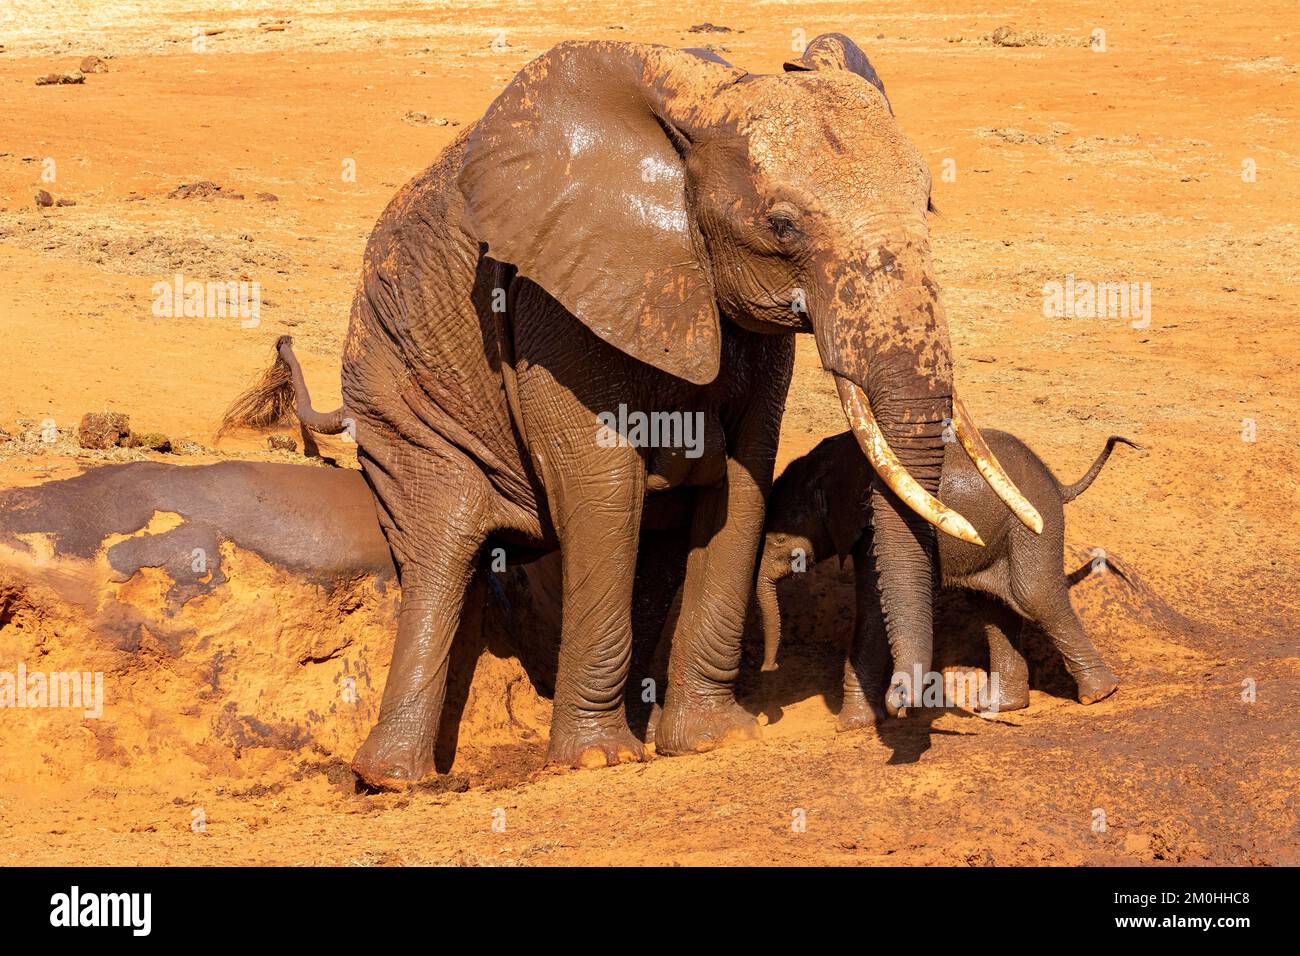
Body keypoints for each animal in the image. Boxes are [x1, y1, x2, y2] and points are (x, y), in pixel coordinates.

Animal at [228, 33, 1040, 790]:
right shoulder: (551, 297)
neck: (699, 115)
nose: (905, 704)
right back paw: (396, 779)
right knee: (444, 545)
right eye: (781, 226)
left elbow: (741, 484)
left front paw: (710, 742)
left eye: (928, 203)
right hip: (399, 388)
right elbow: (601, 488)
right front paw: (596, 760)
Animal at [759, 426, 1133, 723]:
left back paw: (1098, 694)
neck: (826, 465)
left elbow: (875, 611)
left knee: (1033, 596)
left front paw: (852, 723)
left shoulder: (873, 531)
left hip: (1032, 522)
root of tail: (1056, 482)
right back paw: (997, 707)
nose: (770, 669)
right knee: (994, 607)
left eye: (779, 540)